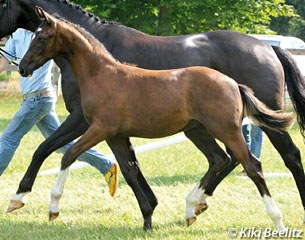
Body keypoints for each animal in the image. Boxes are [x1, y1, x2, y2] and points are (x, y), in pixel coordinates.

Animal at [1, 0, 304, 230]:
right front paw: (148, 215)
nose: (23, 67)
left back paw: (278, 221)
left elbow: (63, 154)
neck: (102, 72)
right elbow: (128, 167)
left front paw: (45, 205)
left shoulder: (94, 126)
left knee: (261, 163)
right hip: (198, 129)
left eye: (41, 37)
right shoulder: (115, 133)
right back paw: (193, 206)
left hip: (229, 129)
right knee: (222, 160)